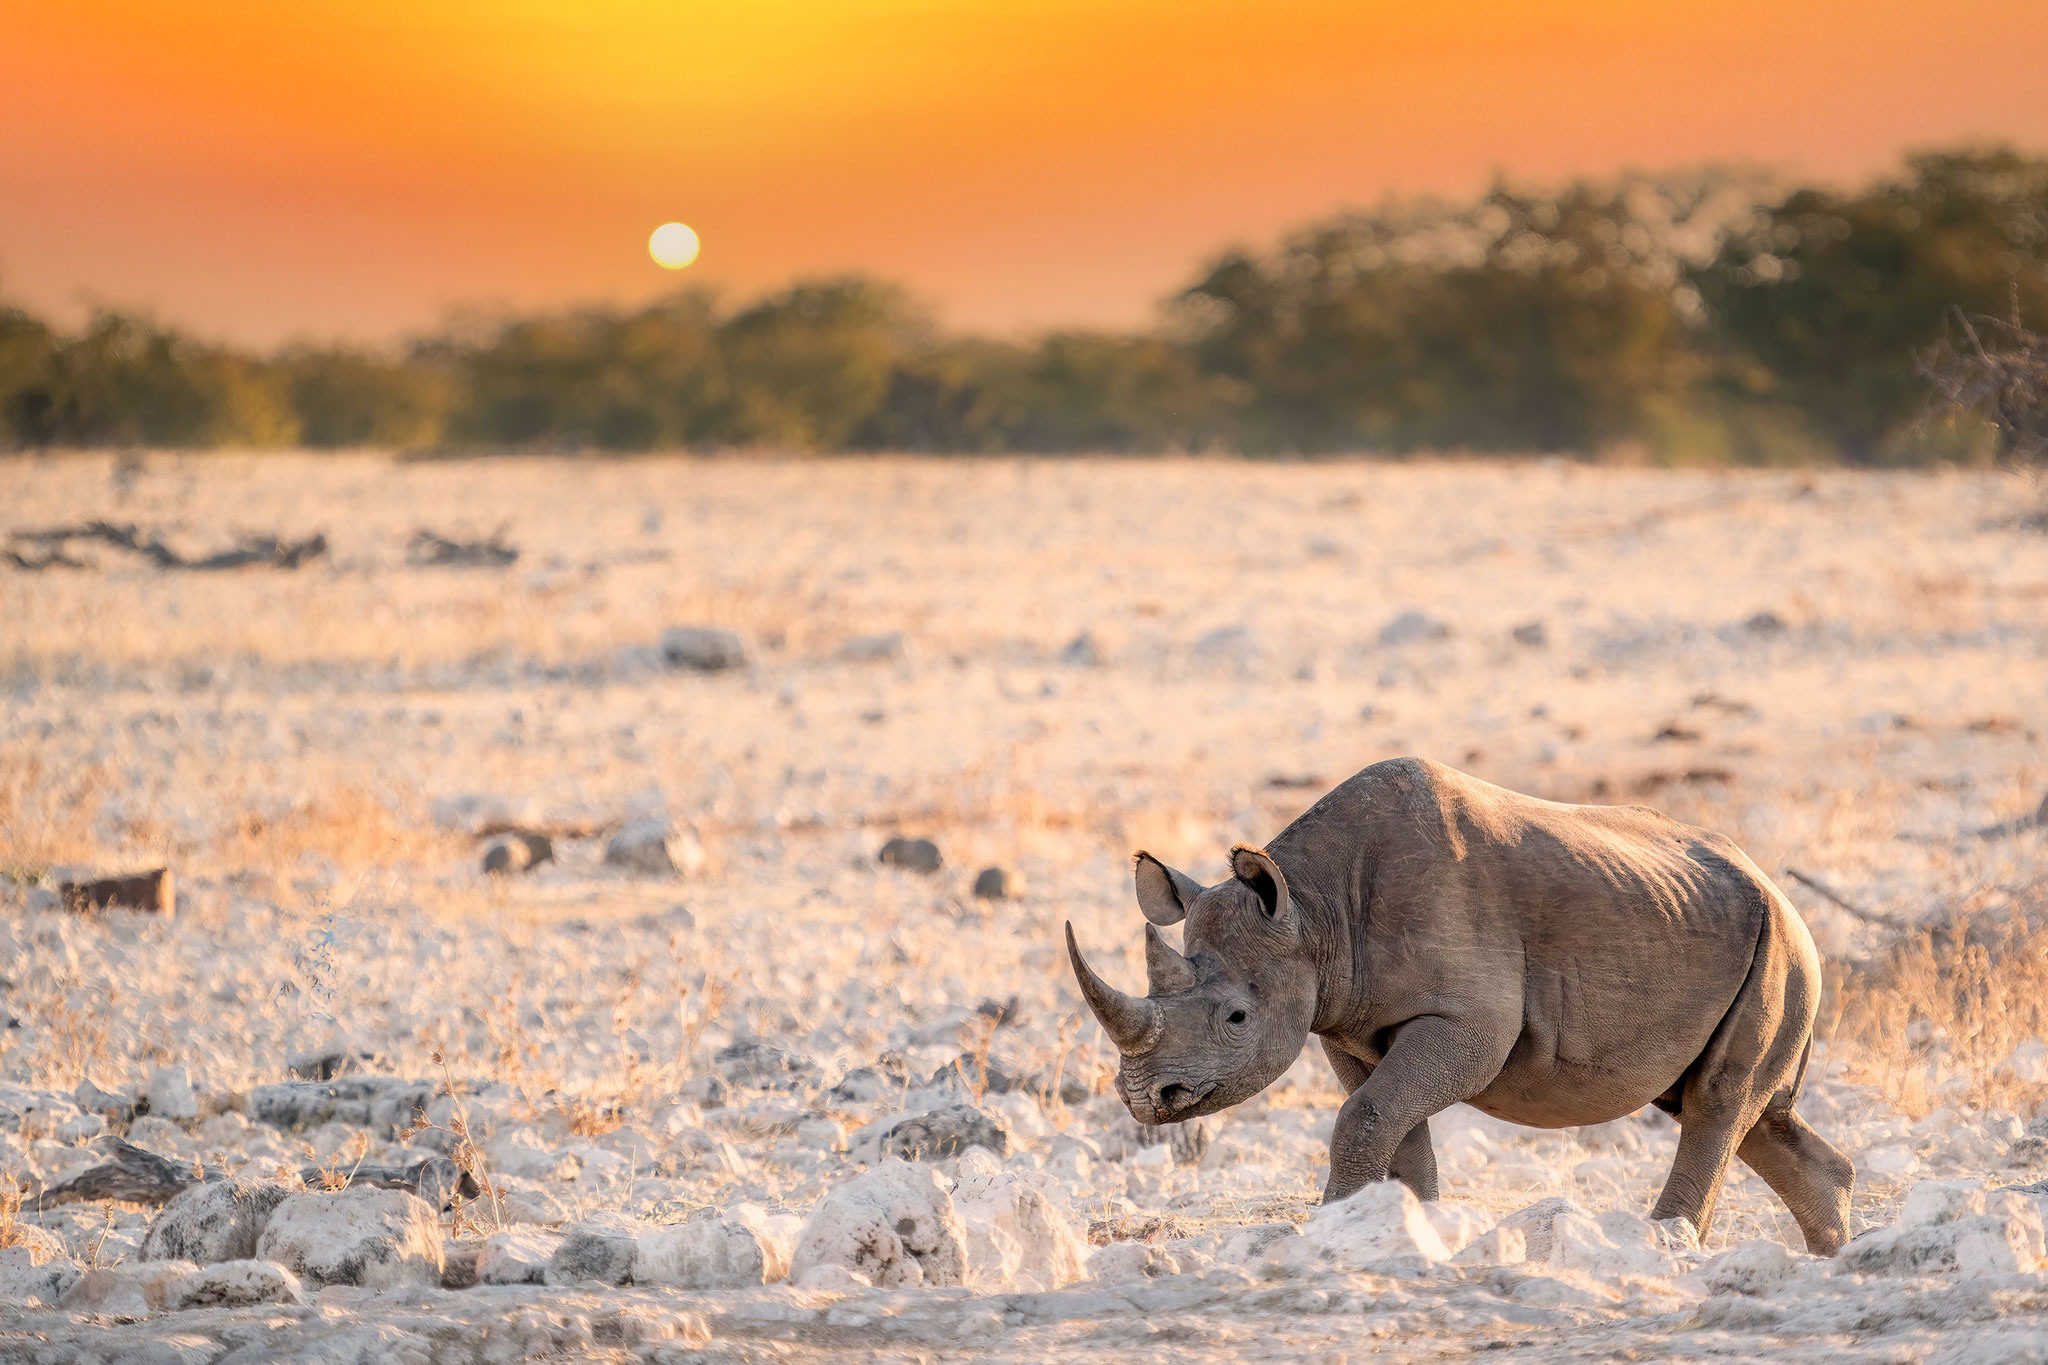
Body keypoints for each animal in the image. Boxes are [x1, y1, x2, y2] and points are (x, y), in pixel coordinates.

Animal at [1073, 765, 1859, 1252]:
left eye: (1237, 1019)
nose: (1145, 1099)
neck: (1313, 909)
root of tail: (1781, 892)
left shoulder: (1468, 1023)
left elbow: (1365, 1117)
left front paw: (1333, 1229)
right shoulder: (1349, 1027)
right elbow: (1393, 1126)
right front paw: (1409, 1227)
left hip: (1782, 950)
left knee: (1717, 1103)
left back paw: (1664, 1245)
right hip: (1728, 936)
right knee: (1737, 1110)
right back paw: (1832, 1258)